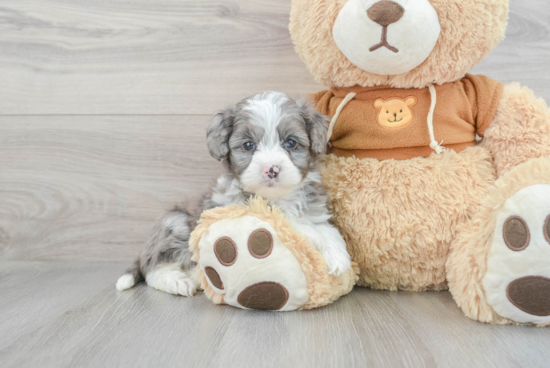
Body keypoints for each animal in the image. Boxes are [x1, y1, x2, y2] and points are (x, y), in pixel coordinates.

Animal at [115, 91, 354, 296]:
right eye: (248, 145)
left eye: (290, 142)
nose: (272, 169)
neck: (275, 199)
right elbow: (296, 226)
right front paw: (316, 239)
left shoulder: (313, 210)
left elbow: (326, 228)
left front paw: (339, 256)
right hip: (176, 224)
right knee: (153, 268)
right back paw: (178, 281)